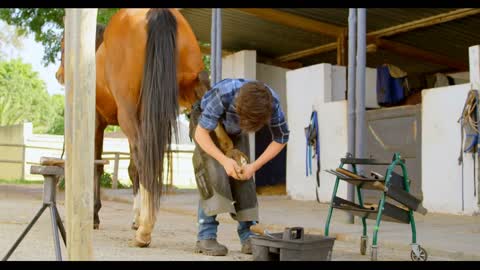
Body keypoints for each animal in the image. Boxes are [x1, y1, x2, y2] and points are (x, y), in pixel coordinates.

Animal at [57, 7, 248, 248]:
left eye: (63, 45)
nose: (59, 75)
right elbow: (133, 170)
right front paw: (135, 218)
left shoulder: (98, 123)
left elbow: (98, 166)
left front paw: (95, 216)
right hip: (192, 84)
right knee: (213, 112)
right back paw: (235, 158)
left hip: (130, 112)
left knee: (144, 157)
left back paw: (145, 231)